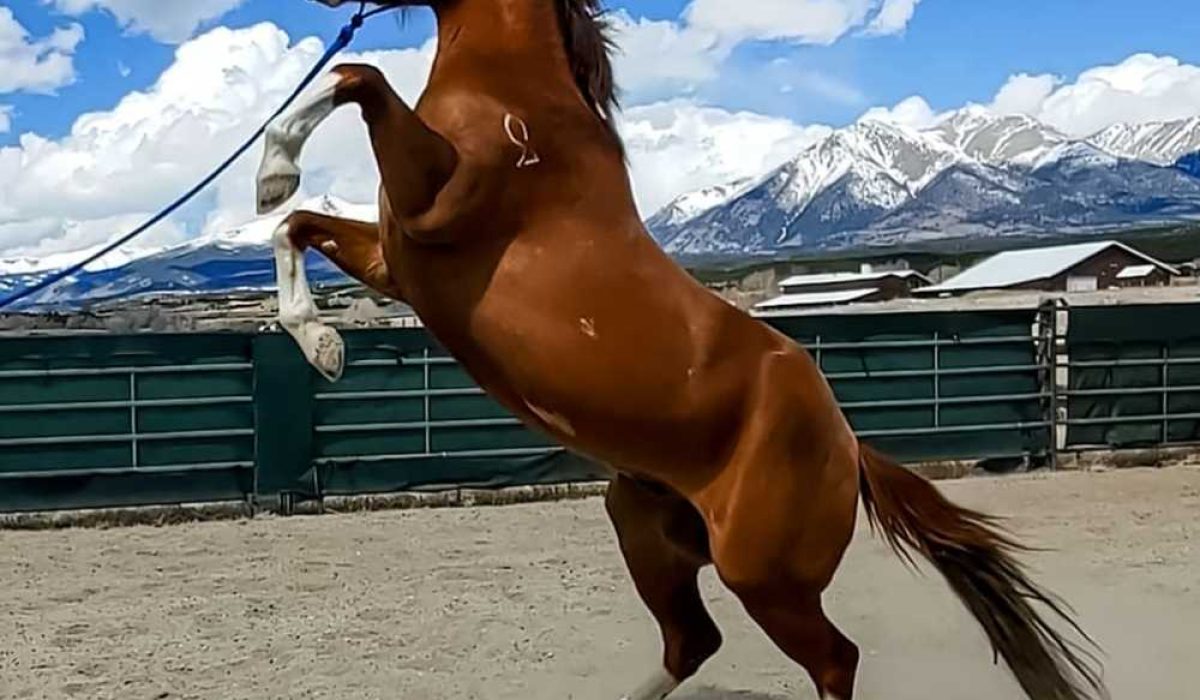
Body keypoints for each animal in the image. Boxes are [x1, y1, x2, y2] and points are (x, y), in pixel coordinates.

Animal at [258, 1, 1108, 698]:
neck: (513, 92)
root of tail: (851, 449)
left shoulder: (436, 205)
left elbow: (358, 78)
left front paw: (273, 168)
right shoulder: (396, 258)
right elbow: (295, 224)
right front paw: (320, 340)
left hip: (764, 575)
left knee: (834, 660)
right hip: (646, 527)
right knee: (692, 642)